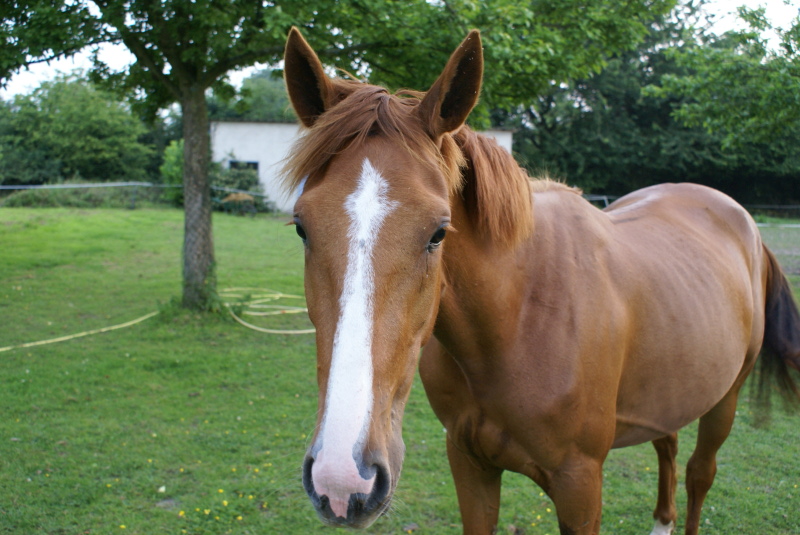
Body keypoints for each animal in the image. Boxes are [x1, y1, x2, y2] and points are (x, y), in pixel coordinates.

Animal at [282, 29, 800, 535]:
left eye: (438, 232)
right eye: (301, 227)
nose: (342, 479)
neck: (519, 317)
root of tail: (743, 222)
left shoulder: (580, 486)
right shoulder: (469, 465)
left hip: (725, 400)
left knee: (698, 473)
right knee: (667, 446)